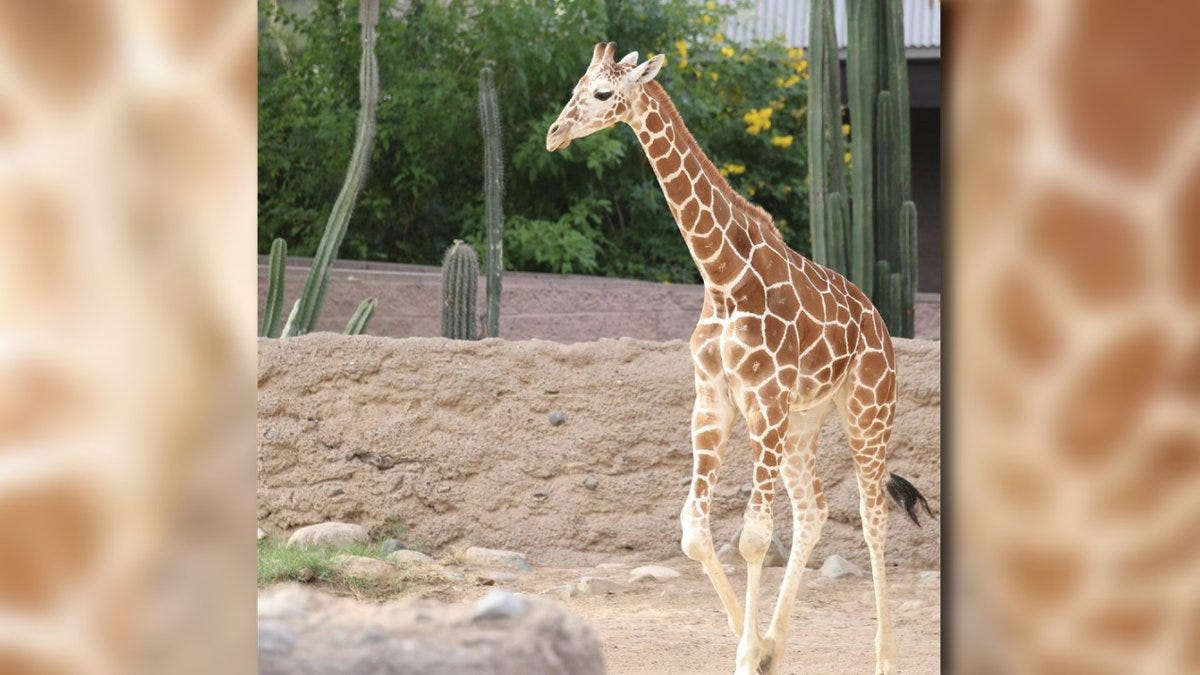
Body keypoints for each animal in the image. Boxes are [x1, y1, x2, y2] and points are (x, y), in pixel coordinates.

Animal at [547, 42, 932, 675]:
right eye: (575, 87)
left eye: (603, 93)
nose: (555, 134)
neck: (724, 277)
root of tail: (879, 321)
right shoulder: (714, 403)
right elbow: (694, 532)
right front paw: (754, 645)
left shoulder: (763, 404)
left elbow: (752, 536)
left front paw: (748, 652)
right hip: (804, 422)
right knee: (815, 509)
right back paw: (779, 640)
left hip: (867, 410)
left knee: (873, 517)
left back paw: (885, 658)